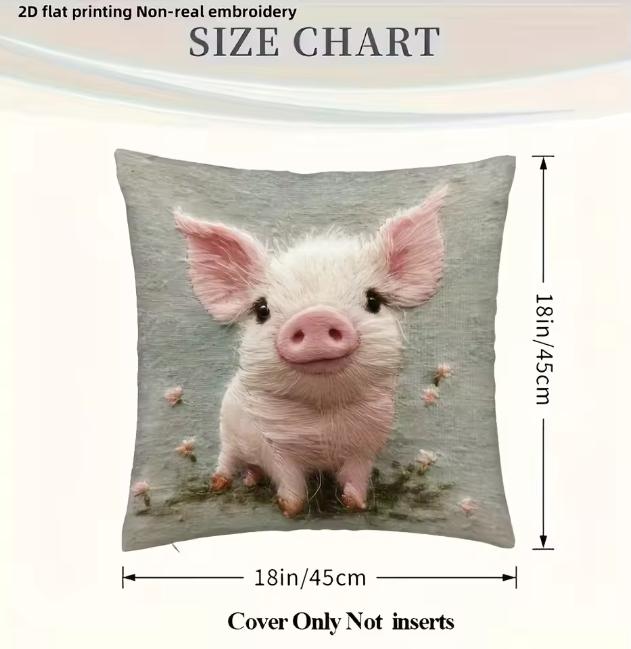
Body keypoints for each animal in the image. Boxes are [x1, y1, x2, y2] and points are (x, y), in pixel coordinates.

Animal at [175, 185, 446, 517]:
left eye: (373, 300)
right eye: (261, 309)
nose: (316, 317)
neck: (323, 419)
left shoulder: (366, 446)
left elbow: (356, 476)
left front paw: (356, 505)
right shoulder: (274, 446)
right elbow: (290, 480)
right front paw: (290, 510)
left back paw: (251, 481)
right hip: (227, 430)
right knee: (227, 459)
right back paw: (219, 485)